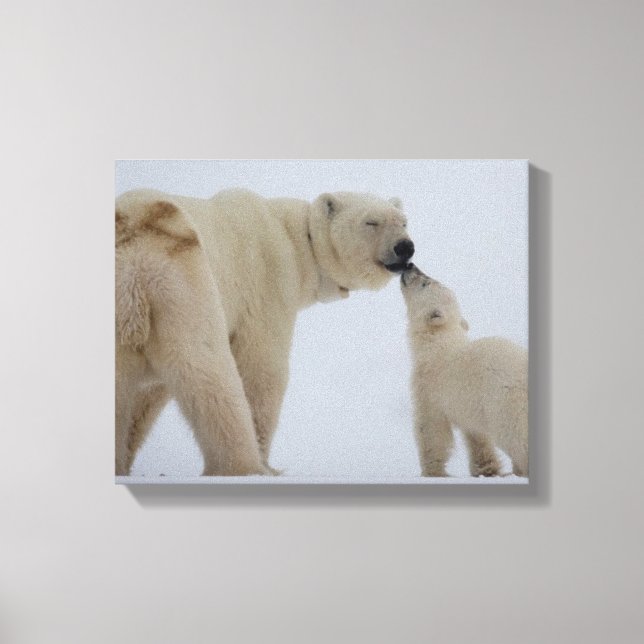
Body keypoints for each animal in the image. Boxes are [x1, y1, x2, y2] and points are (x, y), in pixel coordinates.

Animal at [116, 189, 414, 476]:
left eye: (403, 221)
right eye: (371, 222)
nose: (405, 247)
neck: (296, 240)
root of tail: (135, 264)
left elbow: (148, 395)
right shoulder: (268, 283)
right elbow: (262, 370)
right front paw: (266, 460)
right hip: (184, 285)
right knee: (208, 371)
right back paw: (246, 468)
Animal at [400, 264, 528, 477]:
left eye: (426, 283)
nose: (410, 266)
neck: (437, 343)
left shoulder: (430, 387)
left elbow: (431, 429)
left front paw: (432, 473)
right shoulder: (469, 405)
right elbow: (476, 437)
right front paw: (486, 469)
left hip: (504, 402)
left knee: (516, 437)